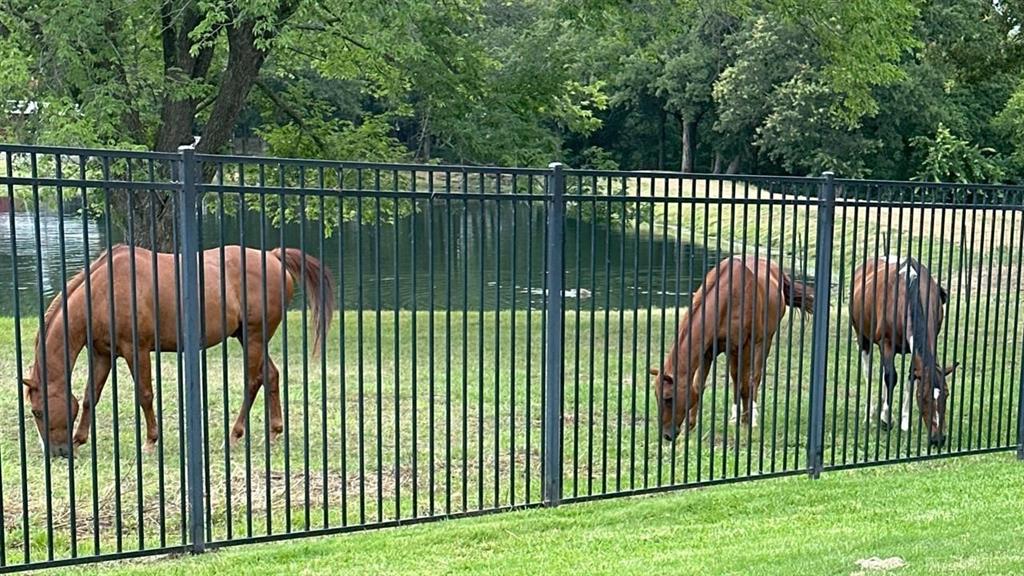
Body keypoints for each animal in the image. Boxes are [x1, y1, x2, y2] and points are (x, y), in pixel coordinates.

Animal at [22, 242, 335, 457]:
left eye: (38, 411)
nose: (57, 453)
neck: (102, 291)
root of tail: (273, 256)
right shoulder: (102, 354)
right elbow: (90, 397)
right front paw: (80, 438)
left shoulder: (136, 350)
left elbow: (145, 395)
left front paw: (150, 441)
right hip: (247, 337)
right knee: (270, 376)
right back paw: (274, 431)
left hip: (255, 337)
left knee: (253, 381)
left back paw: (235, 434)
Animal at [651, 255, 811, 438]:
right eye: (656, 396)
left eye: (668, 398)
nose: (666, 434)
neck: (727, 296)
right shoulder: (708, 351)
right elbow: (698, 386)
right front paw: (690, 426)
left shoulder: (745, 346)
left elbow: (746, 384)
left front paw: (747, 422)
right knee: (735, 378)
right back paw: (735, 416)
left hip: (765, 341)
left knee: (753, 377)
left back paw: (751, 416)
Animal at [851, 253, 954, 446]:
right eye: (924, 398)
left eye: (947, 394)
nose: (938, 439)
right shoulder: (886, 343)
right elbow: (891, 377)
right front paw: (886, 419)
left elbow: (910, 378)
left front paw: (905, 421)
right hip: (863, 339)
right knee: (870, 373)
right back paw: (871, 413)